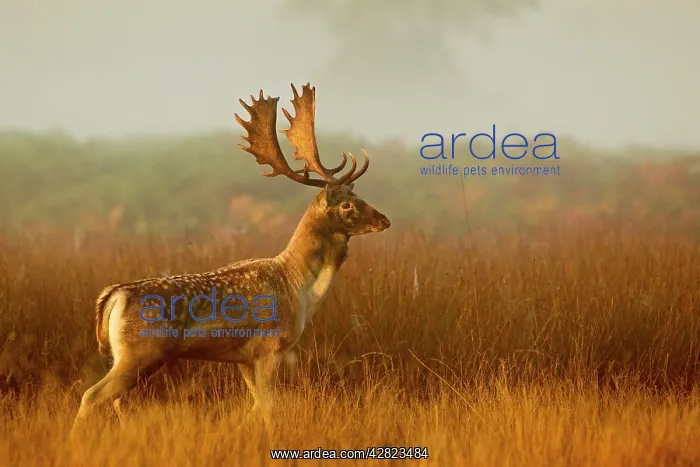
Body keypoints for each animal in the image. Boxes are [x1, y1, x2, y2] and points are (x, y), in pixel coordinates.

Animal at [70, 83, 390, 437]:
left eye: (359, 195)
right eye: (347, 205)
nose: (385, 220)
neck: (298, 286)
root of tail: (113, 295)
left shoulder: (244, 359)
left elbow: (256, 407)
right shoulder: (269, 347)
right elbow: (270, 407)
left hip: (133, 357)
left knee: (115, 401)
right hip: (139, 352)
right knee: (92, 395)